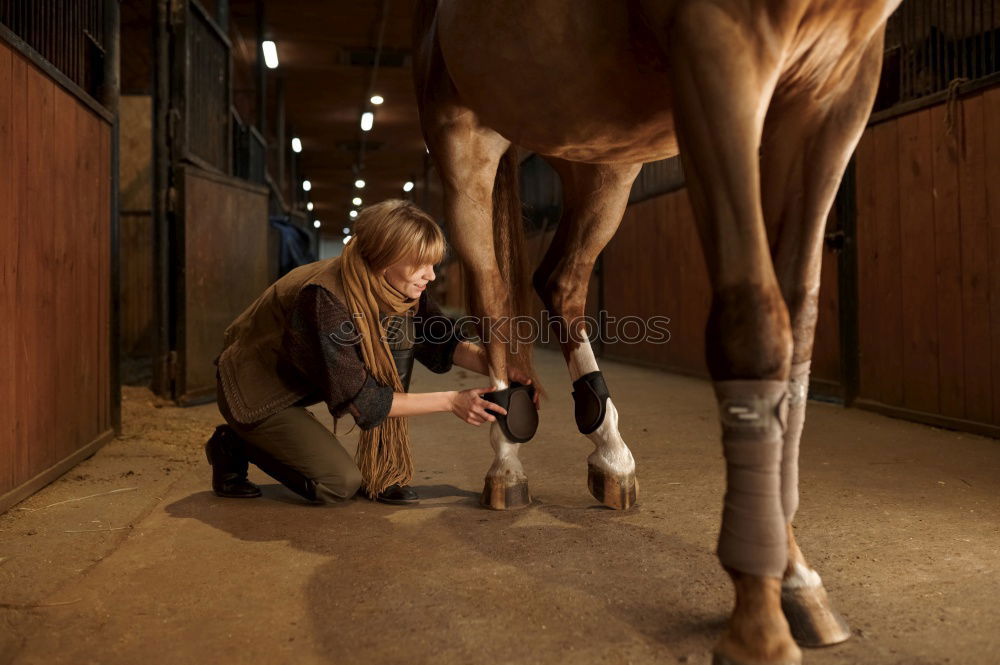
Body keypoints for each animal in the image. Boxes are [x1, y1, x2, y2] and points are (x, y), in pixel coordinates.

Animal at [412, 2, 900, 660]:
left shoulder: (836, 91)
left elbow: (796, 332)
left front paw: (794, 580)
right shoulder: (718, 57)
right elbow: (753, 328)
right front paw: (759, 616)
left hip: (600, 157)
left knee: (559, 278)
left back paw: (611, 455)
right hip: (464, 139)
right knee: (491, 292)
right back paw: (507, 464)